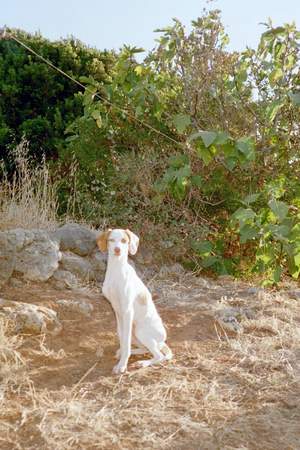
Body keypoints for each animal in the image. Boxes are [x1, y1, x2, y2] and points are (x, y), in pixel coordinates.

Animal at [96, 229, 171, 372]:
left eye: (124, 240)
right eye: (111, 240)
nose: (117, 250)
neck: (117, 271)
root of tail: (163, 340)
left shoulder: (127, 311)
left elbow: (126, 344)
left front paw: (122, 365)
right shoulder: (117, 311)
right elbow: (123, 338)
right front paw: (123, 356)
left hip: (140, 331)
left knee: (159, 355)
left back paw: (143, 363)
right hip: (135, 334)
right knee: (144, 349)